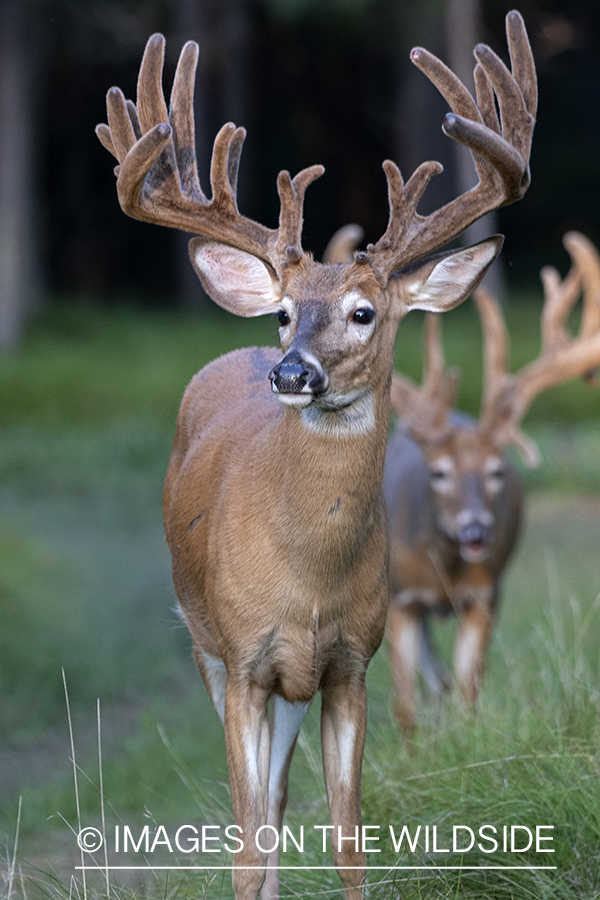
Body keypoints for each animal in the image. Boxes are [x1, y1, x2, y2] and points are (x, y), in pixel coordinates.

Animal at [96, 15, 536, 900]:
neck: (306, 577)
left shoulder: (351, 661)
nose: (292, 372)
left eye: (364, 312)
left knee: (279, 797)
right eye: (285, 312)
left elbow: (346, 838)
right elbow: (247, 843)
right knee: (257, 811)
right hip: (202, 641)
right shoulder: (242, 659)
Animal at [382, 229, 600, 736]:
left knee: (442, 679)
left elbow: (469, 689)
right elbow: (403, 705)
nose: (476, 530)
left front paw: (466, 736)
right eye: (438, 470)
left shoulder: (486, 596)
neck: (443, 572)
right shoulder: (398, 598)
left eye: (498, 469)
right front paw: (414, 749)